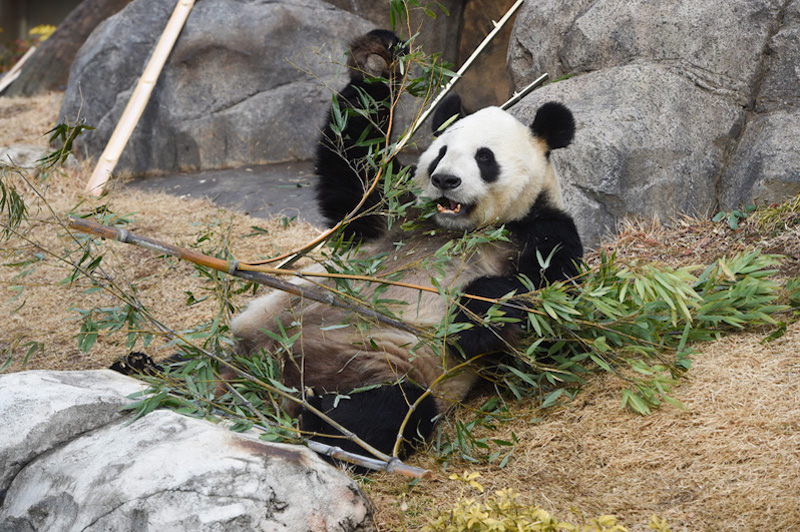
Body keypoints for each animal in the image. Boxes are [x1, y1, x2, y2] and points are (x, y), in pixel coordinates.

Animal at [228, 30, 584, 462]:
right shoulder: (393, 210)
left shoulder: (541, 228)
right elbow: (354, 163)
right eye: (441, 153)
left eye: (485, 158)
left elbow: (553, 309)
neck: (457, 229)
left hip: (369, 365)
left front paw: (480, 311)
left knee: (386, 411)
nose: (446, 180)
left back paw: (317, 419)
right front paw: (377, 60)